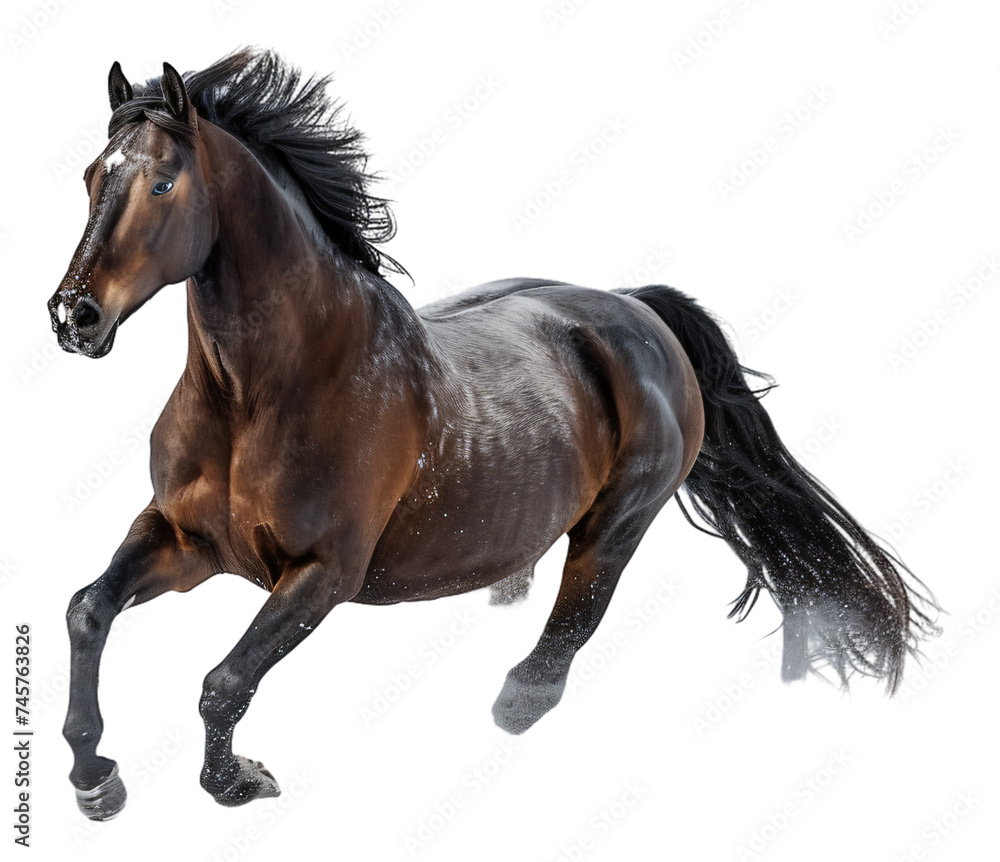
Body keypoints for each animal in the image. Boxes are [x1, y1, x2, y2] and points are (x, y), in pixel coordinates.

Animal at [49, 50, 938, 821]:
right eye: (91, 176)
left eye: (163, 182)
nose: (72, 316)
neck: (258, 398)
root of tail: (637, 309)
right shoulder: (184, 539)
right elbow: (88, 610)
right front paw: (95, 778)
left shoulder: (323, 572)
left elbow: (224, 681)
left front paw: (239, 781)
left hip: (621, 517)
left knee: (577, 613)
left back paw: (518, 697)